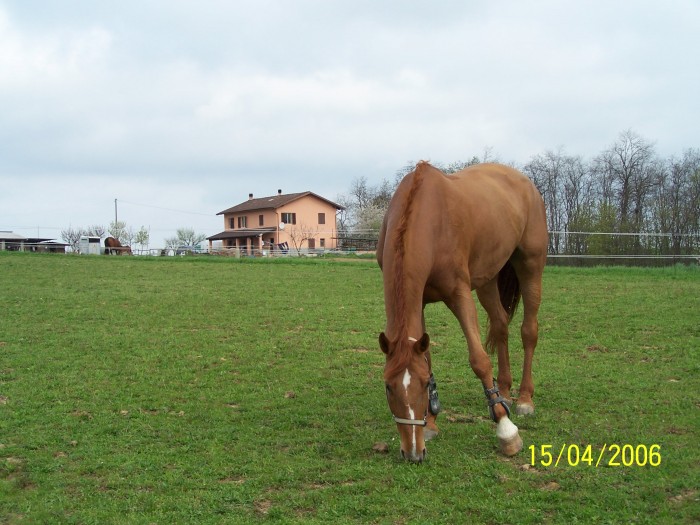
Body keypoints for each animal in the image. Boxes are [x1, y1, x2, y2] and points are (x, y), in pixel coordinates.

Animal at [374, 162, 548, 460]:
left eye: (422, 385)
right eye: (388, 386)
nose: (413, 452)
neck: (429, 218)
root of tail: (526, 183)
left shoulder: (459, 294)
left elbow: (479, 360)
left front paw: (506, 431)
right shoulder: (420, 302)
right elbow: (428, 359)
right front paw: (432, 424)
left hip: (530, 266)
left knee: (529, 331)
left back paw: (524, 399)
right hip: (488, 279)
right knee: (500, 325)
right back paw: (503, 391)